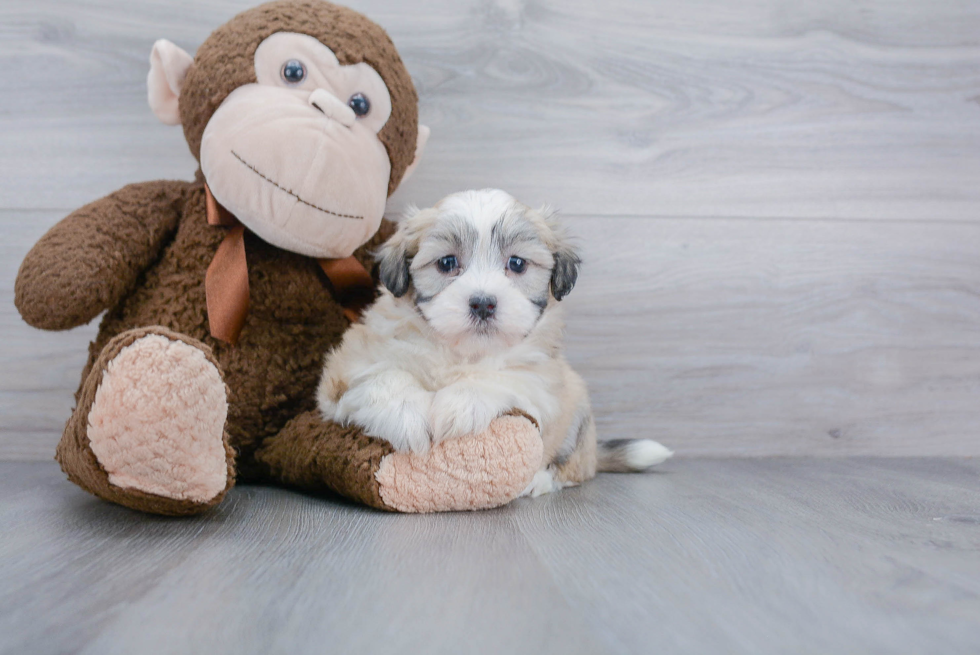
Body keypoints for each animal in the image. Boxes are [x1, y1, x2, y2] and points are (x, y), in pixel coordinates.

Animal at [318, 190, 668, 498]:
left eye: (517, 264)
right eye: (447, 263)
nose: (483, 303)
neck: (462, 352)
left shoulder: (540, 381)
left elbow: (499, 378)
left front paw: (459, 404)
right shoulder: (348, 366)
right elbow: (383, 375)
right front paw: (406, 415)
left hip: (577, 412)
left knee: (573, 468)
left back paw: (540, 481)